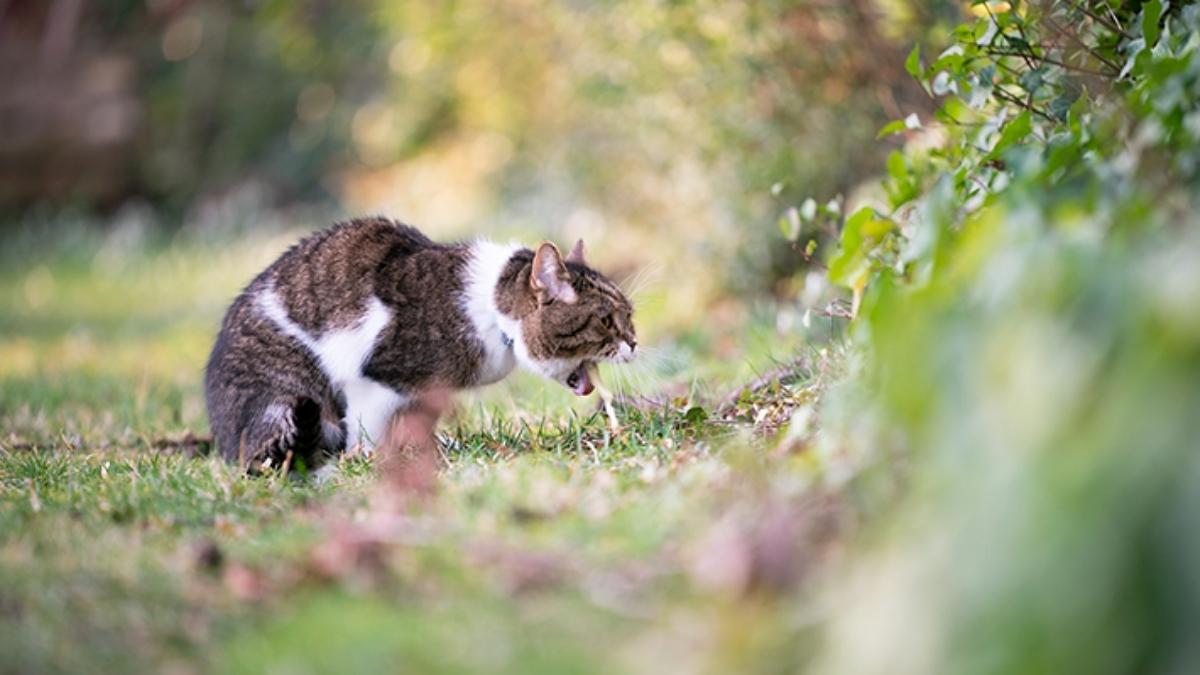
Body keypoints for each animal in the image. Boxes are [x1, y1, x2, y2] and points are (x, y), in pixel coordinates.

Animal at [206, 214, 638, 468]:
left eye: (630, 315)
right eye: (605, 320)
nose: (634, 342)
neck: (488, 309)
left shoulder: (424, 394)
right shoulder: (374, 381)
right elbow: (367, 430)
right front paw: (372, 459)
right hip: (286, 395)